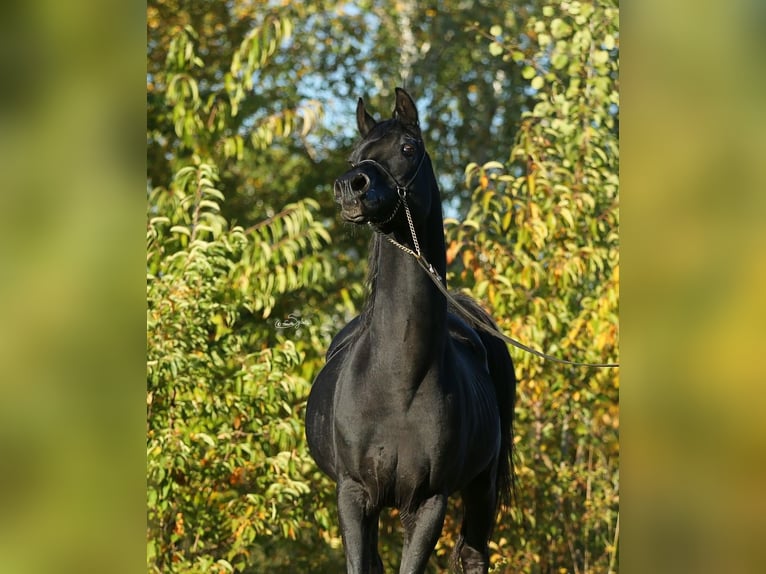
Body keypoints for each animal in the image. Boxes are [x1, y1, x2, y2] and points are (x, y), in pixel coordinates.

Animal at [304, 88, 516, 572]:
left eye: (407, 149)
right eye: (354, 155)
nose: (351, 187)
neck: (395, 378)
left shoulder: (427, 503)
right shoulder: (354, 496)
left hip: (481, 487)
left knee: (474, 554)